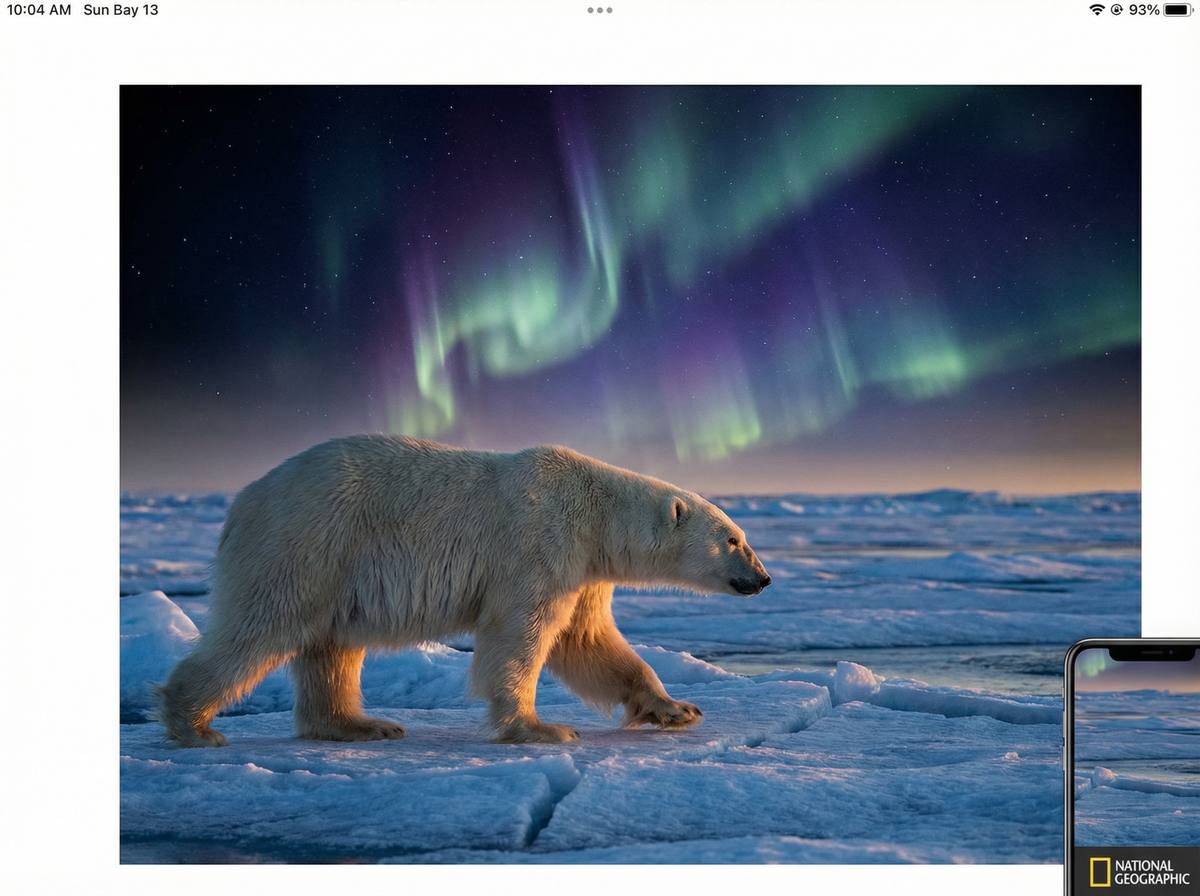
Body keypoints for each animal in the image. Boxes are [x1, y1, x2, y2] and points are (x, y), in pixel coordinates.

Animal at [158, 435, 772, 746]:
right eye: (735, 539)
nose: (764, 578)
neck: (596, 511)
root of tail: (243, 503)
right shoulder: (541, 542)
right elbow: (521, 635)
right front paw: (539, 728)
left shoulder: (584, 570)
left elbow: (590, 643)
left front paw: (677, 709)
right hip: (308, 539)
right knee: (261, 626)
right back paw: (192, 725)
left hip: (333, 564)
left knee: (332, 647)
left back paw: (362, 724)